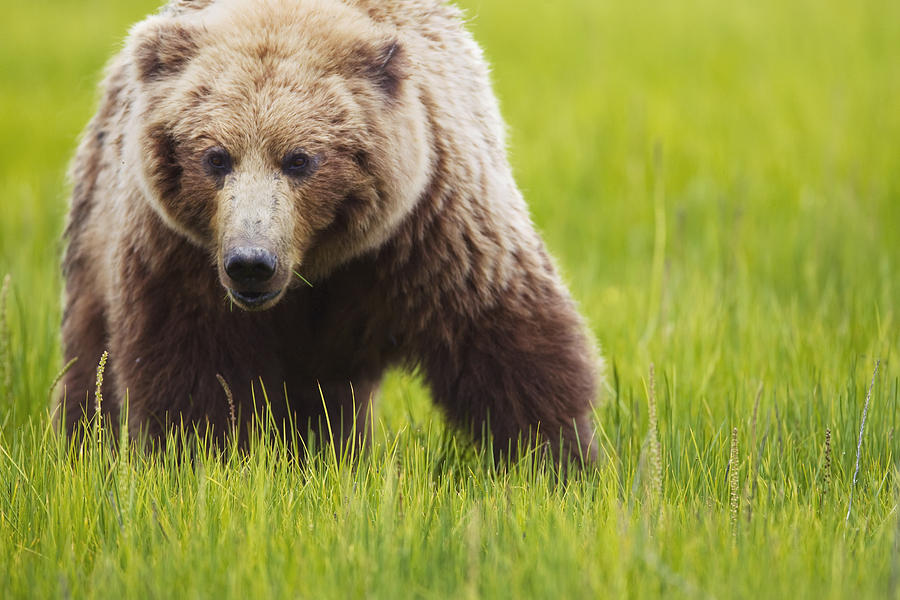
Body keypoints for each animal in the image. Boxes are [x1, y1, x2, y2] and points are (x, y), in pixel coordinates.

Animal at [59, 0, 600, 462]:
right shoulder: (180, 257)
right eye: (215, 157)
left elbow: (506, 340)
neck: (317, 264)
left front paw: (560, 461)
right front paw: (197, 460)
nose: (251, 264)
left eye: (299, 159)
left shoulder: (434, 230)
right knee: (88, 362)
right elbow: (190, 373)